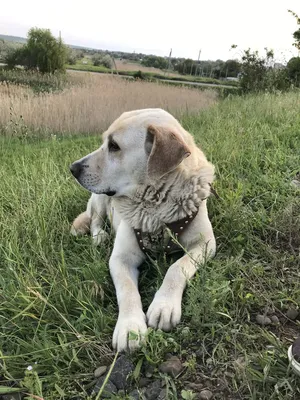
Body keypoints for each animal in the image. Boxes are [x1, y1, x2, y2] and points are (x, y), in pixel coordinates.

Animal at [69, 108, 216, 352]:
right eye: (104, 142)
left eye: (114, 146)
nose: (73, 169)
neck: (156, 206)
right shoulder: (120, 258)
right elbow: (127, 291)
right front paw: (129, 327)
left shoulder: (205, 243)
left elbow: (176, 268)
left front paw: (164, 305)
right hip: (99, 200)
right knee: (95, 220)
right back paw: (99, 236)